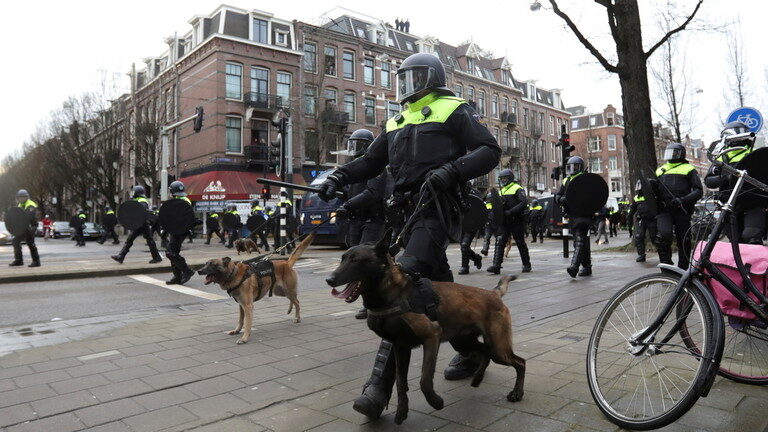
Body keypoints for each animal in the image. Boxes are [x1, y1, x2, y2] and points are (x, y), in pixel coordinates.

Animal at [324, 230, 528, 426]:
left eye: (355, 260)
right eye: (342, 259)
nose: (328, 279)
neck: (393, 294)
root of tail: (493, 293)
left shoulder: (431, 337)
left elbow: (424, 380)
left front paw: (436, 402)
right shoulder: (400, 347)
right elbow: (400, 382)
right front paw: (401, 412)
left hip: (498, 348)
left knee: (520, 362)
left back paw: (517, 393)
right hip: (463, 342)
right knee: (485, 352)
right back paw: (477, 378)